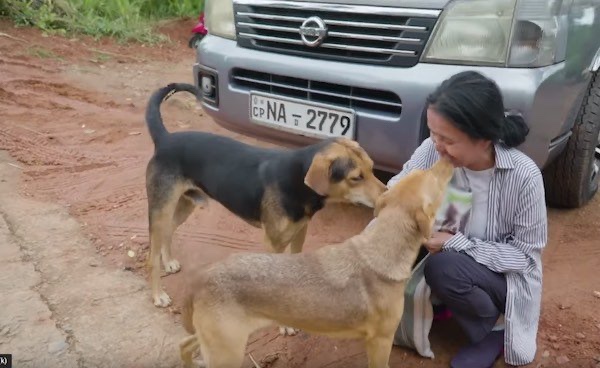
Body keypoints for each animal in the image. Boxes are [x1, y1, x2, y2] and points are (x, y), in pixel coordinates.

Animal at [144, 82, 386, 308]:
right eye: (356, 177)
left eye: (372, 167)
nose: (386, 194)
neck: (297, 179)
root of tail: (165, 139)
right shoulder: (273, 243)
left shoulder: (299, 233)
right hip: (161, 208)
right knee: (152, 257)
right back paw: (158, 294)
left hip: (185, 203)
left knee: (168, 231)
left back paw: (169, 261)